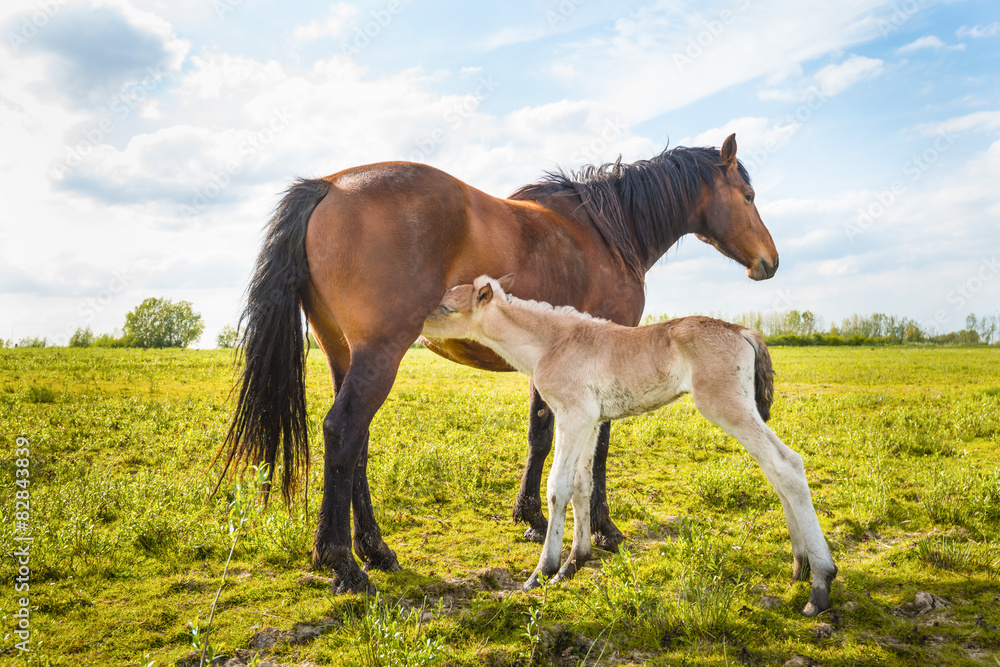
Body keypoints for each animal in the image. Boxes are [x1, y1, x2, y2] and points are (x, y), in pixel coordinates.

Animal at [219, 133, 779, 595]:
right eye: (748, 197)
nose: (770, 262)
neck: (607, 232)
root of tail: (329, 186)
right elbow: (595, 452)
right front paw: (603, 528)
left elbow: (539, 434)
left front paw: (530, 517)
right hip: (380, 353)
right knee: (343, 432)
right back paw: (343, 563)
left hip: (344, 353)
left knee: (356, 445)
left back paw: (376, 550)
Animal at [423, 276, 837, 616]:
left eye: (447, 307)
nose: (419, 327)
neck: (552, 343)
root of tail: (743, 330)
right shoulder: (590, 420)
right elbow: (582, 486)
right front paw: (573, 564)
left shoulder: (574, 415)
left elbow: (558, 487)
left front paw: (543, 571)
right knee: (774, 471)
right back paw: (799, 568)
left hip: (725, 405)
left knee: (787, 463)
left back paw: (820, 584)